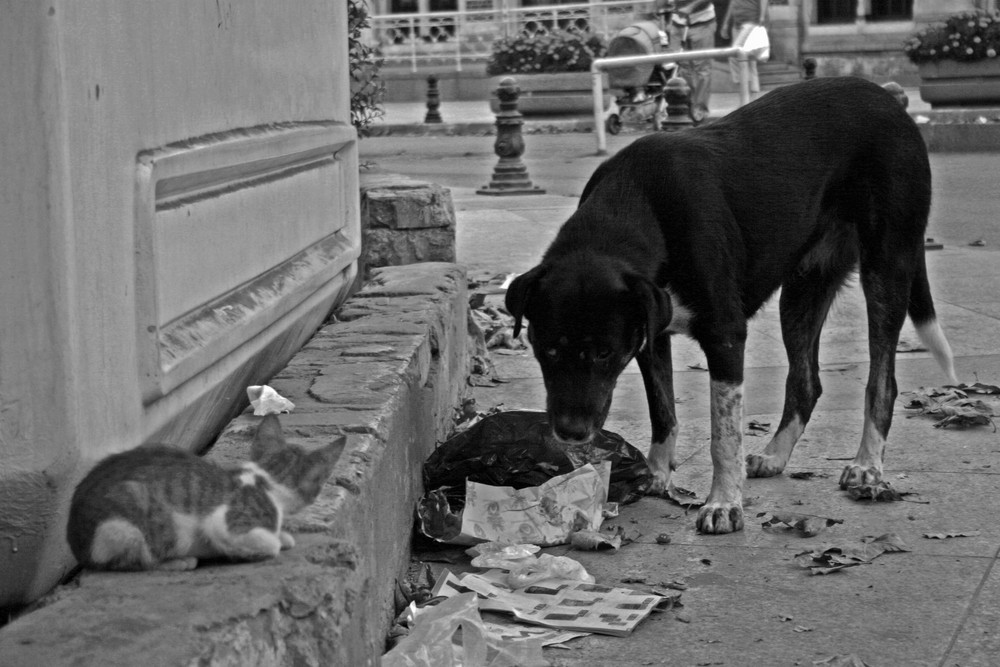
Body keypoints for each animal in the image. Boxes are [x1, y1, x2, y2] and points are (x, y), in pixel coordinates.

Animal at [66, 414, 342, 572]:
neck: (267, 480)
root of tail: (74, 541)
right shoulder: (223, 523)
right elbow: (265, 543)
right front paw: (259, 547)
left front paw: (281, 535)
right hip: (127, 523)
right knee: (136, 561)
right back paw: (178, 562)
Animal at [508, 78, 960, 536]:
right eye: (546, 349)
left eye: (604, 353)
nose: (570, 433)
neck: (637, 199)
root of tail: (889, 98)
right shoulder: (649, 334)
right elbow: (663, 411)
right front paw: (656, 474)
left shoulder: (724, 336)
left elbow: (723, 436)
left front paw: (723, 504)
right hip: (803, 287)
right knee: (806, 382)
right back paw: (776, 455)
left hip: (887, 268)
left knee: (881, 382)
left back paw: (867, 465)